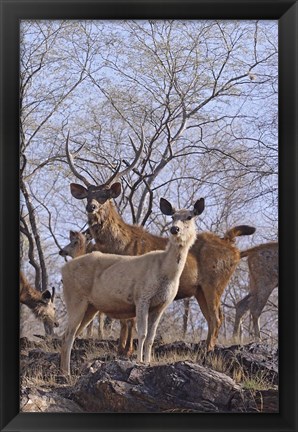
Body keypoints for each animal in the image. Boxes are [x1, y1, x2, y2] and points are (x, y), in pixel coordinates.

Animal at [60, 197, 205, 372]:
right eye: (172, 216)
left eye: (189, 217)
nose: (174, 229)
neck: (166, 271)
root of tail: (62, 270)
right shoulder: (142, 297)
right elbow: (142, 333)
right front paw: (139, 361)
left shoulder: (161, 305)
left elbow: (151, 337)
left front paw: (148, 361)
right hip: (75, 298)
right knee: (67, 335)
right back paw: (66, 372)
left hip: (90, 307)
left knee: (71, 334)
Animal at [66, 131, 255, 352]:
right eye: (87, 195)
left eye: (105, 195)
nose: (92, 207)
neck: (120, 245)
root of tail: (234, 249)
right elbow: (124, 320)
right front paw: (122, 348)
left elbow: (129, 320)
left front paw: (128, 350)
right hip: (200, 289)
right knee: (212, 319)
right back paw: (204, 350)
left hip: (215, 282)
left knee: (217, 318)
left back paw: (208, 351)